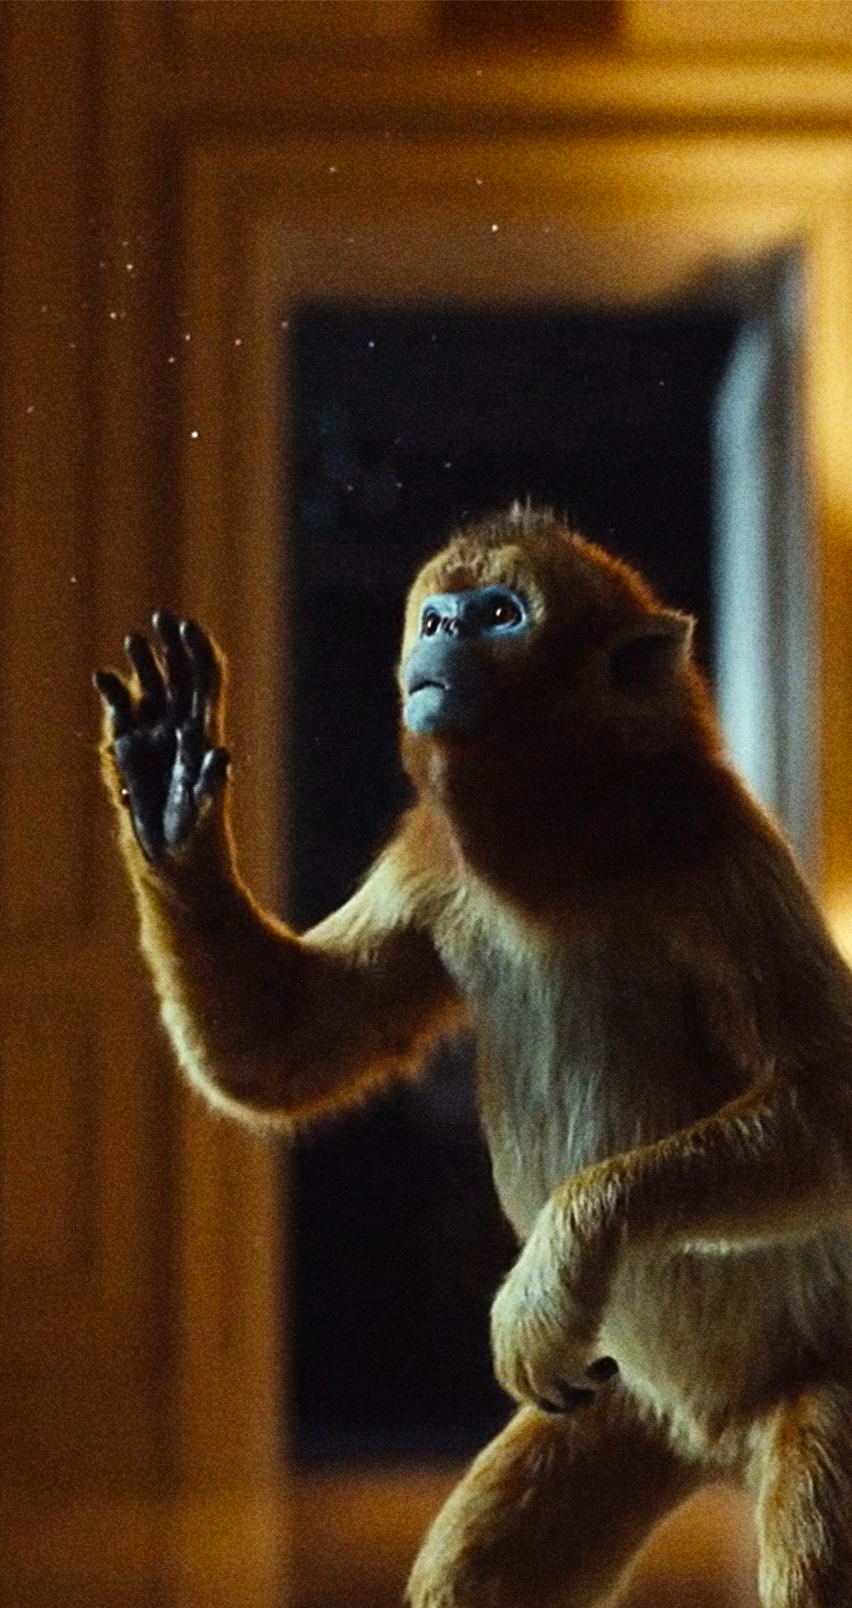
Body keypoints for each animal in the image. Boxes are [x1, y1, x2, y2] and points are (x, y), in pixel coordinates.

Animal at [95, 504, 852, 1608]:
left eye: (500, 614)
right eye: (440, 612)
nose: (444, 631)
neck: (573, 840)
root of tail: (718, 1433)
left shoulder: (715, 850)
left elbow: (828, 1107)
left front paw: (569, 1248)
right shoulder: (430, 861)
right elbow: (278, 1050)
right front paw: (168, 801)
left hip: (819, 1379)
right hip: (622, 1407)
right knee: (484, 1561)